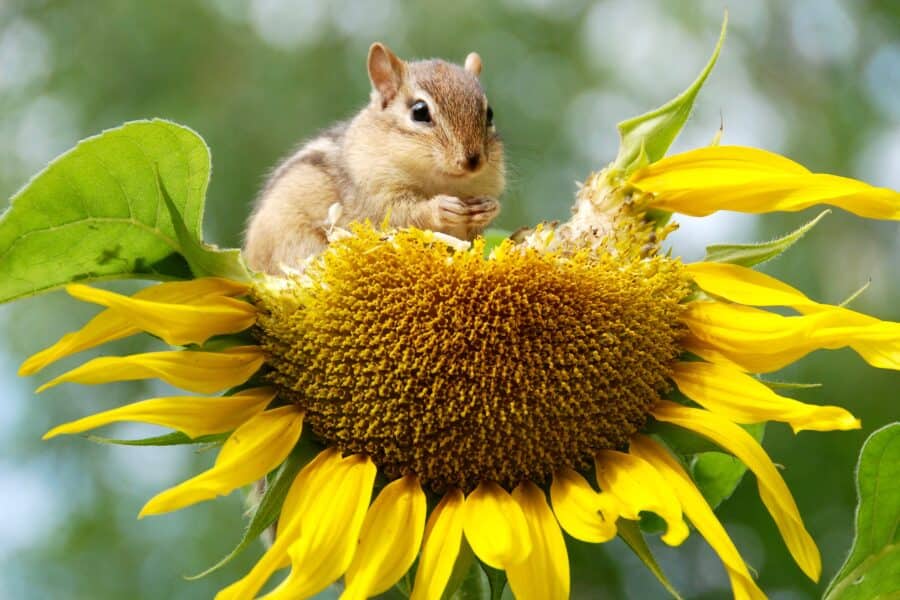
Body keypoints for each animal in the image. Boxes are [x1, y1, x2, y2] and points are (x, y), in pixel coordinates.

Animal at [243, 43, 506, 275]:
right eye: (419, 111)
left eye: (490, 113)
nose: (472, 161)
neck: (443, 181)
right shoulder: (374, 194)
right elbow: (401, 215)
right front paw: (440, 207)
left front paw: (489, 208)